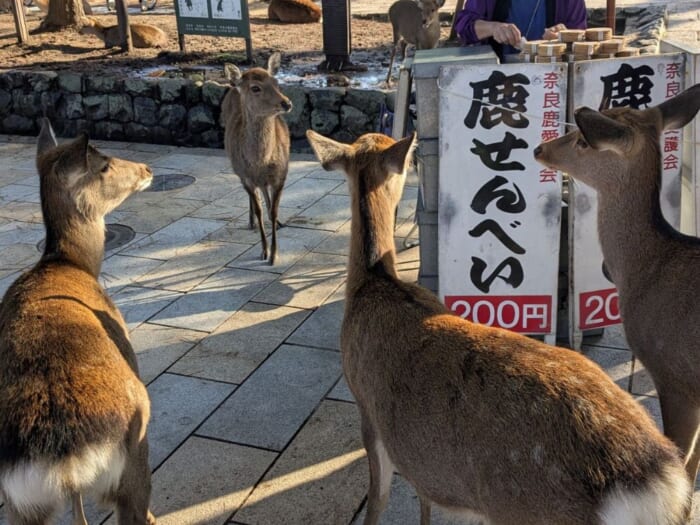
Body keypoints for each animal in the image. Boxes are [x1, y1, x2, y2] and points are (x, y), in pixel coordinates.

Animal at [0, 118, 154, 524]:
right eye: (104, 165)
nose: (147, 169)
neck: (71, 264)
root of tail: (65, 458)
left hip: (21, 503)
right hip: (135, 462)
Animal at [221, 52, 292, 264]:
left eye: (276, 82)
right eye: (255, 88)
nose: (286, 103)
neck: (260, 161)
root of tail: (233, 85)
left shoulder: (281, 174)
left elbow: (273, 210)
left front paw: (275, 254)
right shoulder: (246, 177)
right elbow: (260, 209)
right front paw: (265, 251)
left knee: (266, 195)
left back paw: (277, 222)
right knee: (256, 198)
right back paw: (251, 221)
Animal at [308, 127, 696, 524]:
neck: (373, 283)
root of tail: (655, 483)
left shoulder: (364, 403)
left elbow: (378, 496)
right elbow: (423, 497)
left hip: (524, 509)